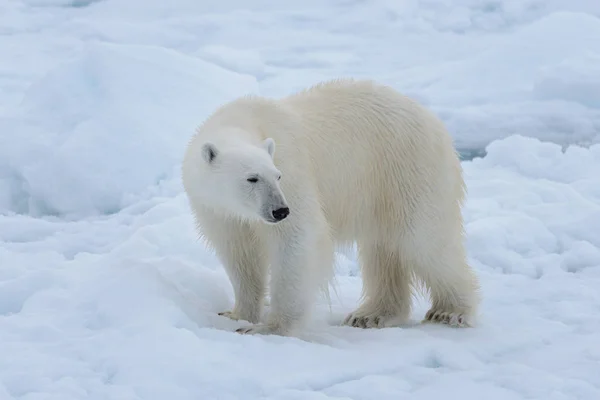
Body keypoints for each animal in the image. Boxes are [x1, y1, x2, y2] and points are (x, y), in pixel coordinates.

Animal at [180, 78, 480, 334]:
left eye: (277, 176)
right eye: (251, 178)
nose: (280, 211)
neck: (241, 120)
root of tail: (433, 121)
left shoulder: (292, 168)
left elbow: (297, 239)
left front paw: (270, 327)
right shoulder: (217, 209)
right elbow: (239, 254)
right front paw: (236, 314)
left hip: (409, 169)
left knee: (425, 241)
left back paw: (450, 311)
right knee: (383, 249)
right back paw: (371, 315)